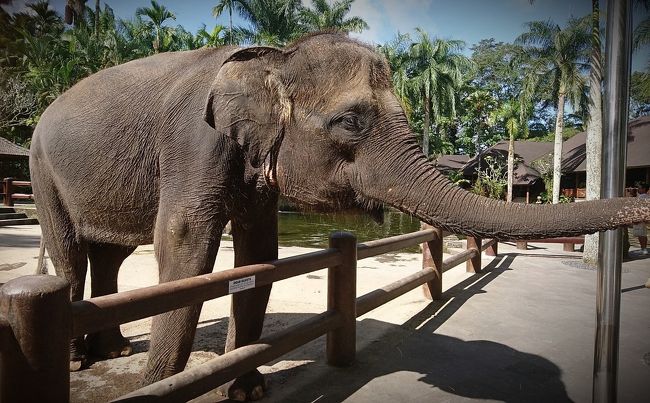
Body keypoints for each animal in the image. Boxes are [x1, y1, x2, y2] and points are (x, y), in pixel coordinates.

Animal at [30, 32, 648, 400]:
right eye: (350, 122)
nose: (643, 207)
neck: (272, 59)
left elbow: (259, 255)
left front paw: (246, 390)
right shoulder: (194, 142)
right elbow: (186, 246)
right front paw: (160, 389)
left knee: (110, 255)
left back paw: (109, 351)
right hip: (41, 170)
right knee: (68, 253)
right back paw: (80, 361)